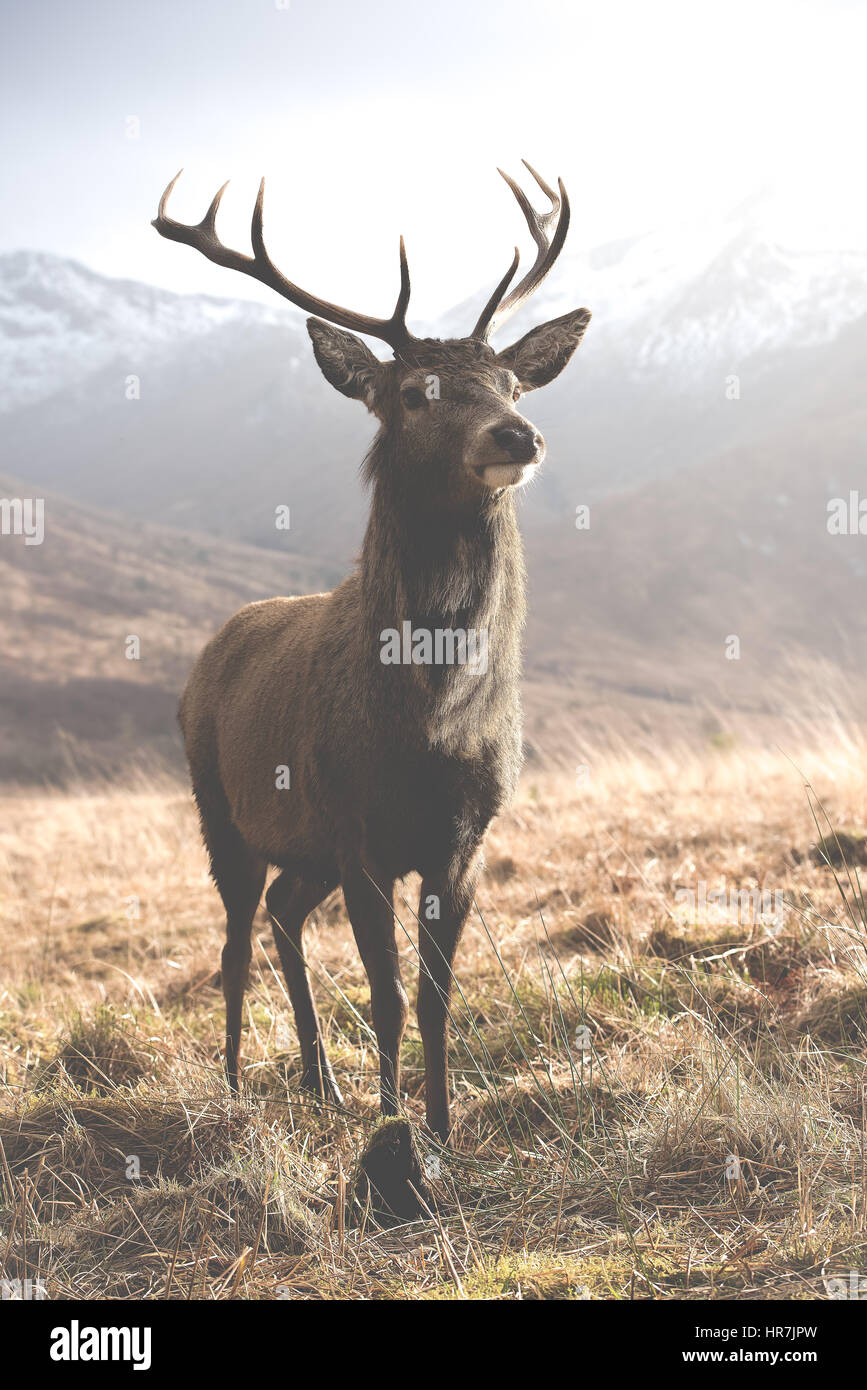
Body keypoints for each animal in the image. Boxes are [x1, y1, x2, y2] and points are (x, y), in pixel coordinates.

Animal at [152, 161, 591, 1142]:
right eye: (414, 390)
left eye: (511, 382)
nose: (518, 435)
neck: (428, 719)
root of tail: (208, 654)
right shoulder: (358, 830)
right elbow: (387, 996)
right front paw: (394, 1133)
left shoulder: (462, 838)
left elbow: (435, 996)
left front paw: (441, 1128)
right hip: (221, 806)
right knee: (234, 938)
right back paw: (234, 1083)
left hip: (304, 840)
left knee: (281, 912)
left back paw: (321, 1081)